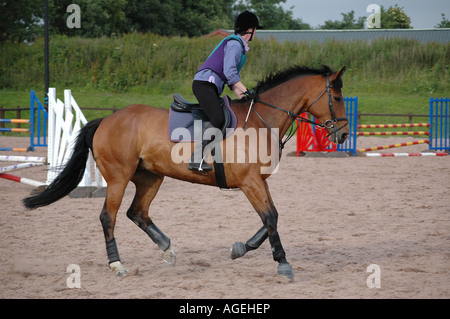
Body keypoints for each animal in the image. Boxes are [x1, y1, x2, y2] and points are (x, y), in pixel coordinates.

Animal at [22, 65, 350, 282]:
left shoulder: (257, 182)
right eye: (336, 96)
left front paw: (240, 248)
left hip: (151, 177)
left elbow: (271, 218)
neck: (261, 120)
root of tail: (106, 120)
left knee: (137, 212)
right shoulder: (249, 182)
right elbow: (270, 218)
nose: (344, 134)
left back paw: (168, 249)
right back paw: (117, 265)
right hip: (118, 177)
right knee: (108, 217)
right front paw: (282, 263)